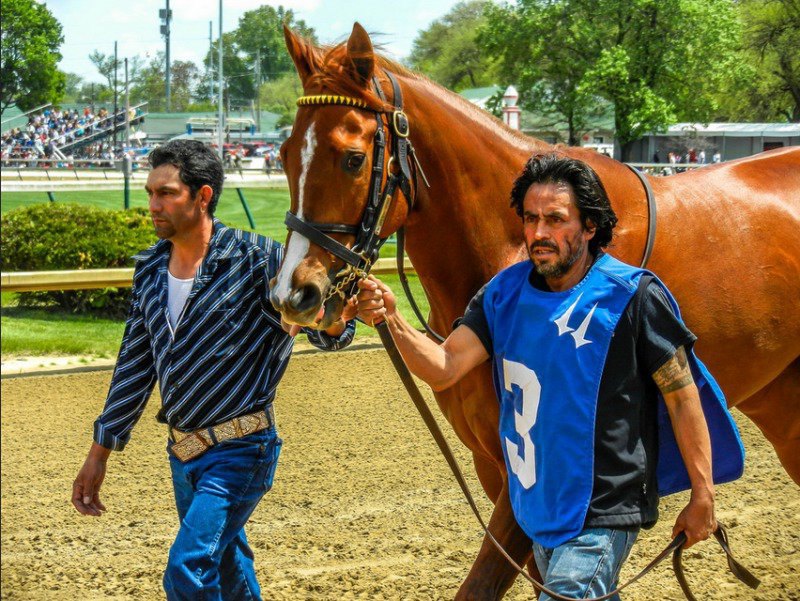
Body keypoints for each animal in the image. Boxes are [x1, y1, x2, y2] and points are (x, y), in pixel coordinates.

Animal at [270, 24, 800, 600]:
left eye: (351, 158)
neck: (518, 245)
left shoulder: (535, 476)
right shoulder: (496, 468)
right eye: (284, 154)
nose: (294, 295)